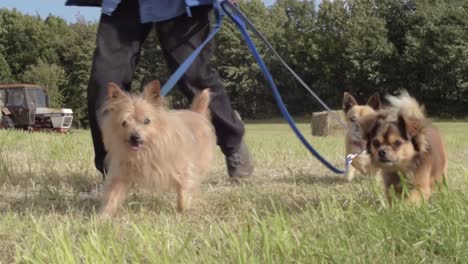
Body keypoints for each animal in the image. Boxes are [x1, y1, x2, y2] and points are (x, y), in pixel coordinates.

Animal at [99, 80, 217, 217]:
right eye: (124, 123)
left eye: (147, 121)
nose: (134, 137)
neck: (147, 150)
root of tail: (196, 113)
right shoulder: (120, 175)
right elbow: (112, 197)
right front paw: (102, 217)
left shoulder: (185, 171)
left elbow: (183, 193)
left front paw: (183, 210)